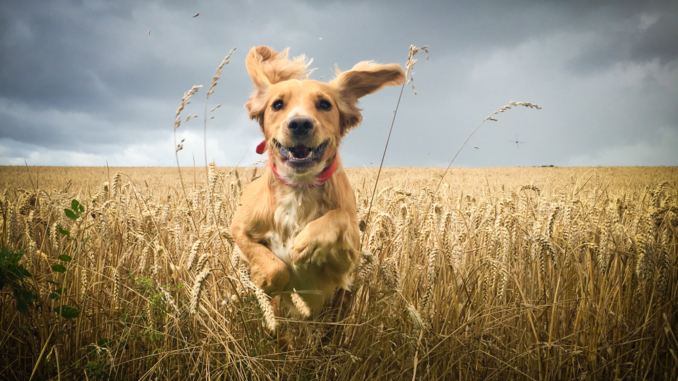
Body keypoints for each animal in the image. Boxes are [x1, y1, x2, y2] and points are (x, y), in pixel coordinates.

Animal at [231, 45, 406, 314]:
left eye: (324, 104)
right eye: (277, 104)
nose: (300, 123)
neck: (300, 187)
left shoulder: (347, 260)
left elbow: (339, 216)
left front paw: (309, 242)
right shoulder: (239, 229)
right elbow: (276, 267)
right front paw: (265, 280)